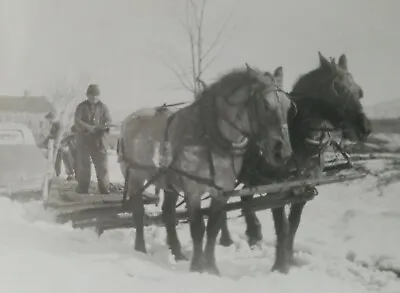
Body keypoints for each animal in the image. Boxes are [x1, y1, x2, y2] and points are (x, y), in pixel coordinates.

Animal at [117, 64, 296, 274]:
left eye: (288, 106)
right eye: (265, 105)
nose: (282, 152)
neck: (211, 137)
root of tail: (128, 120)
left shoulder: (222, 191)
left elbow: (212, 228)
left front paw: (211, 267)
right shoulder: (193, 190)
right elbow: (197, 228)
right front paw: (197, 267)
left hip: (170, 183)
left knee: (168, 213)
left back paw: (177, 253)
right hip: (135, 176)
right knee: (138, 212)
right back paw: (140, 249)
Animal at [219, 51, 372, 272]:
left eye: (359, 91)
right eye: (337, 88)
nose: (365, 129)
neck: (297, 138)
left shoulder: (302, 190)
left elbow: (293, 226)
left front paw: (289, 260)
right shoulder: (277, 190)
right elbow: (282, 227)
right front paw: (280, 266)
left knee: (245, 199)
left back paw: (253, 233)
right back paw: (226, 238)